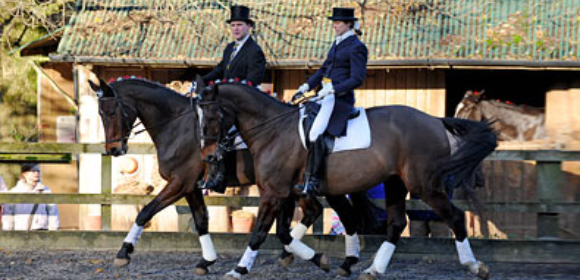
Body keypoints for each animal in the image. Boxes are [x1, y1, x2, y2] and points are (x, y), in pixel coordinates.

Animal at [86, 76, 376, 276]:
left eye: (111, 112)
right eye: (100, 113)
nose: (113, 150)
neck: (177, 125)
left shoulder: (180, 182)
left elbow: (145, 212)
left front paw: (124, 253)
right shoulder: (192, 187)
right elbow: (201, 221)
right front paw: (207, 261)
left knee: (341, 215)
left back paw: (339, 261)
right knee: (315, 211)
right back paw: (303, 255)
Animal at [197, 80, 496, 280]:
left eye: (211, 116)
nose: (209, 156)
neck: (273, 130)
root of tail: (434, 120)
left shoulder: (274, 193)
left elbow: (260, 232)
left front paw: (238, 269)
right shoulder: (284, 192)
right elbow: (282, 232)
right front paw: (318, 259)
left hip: (424, 185)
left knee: (455, 216)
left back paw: (475, 266)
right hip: (395, 183)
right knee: (397, 223)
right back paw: (373, 269)